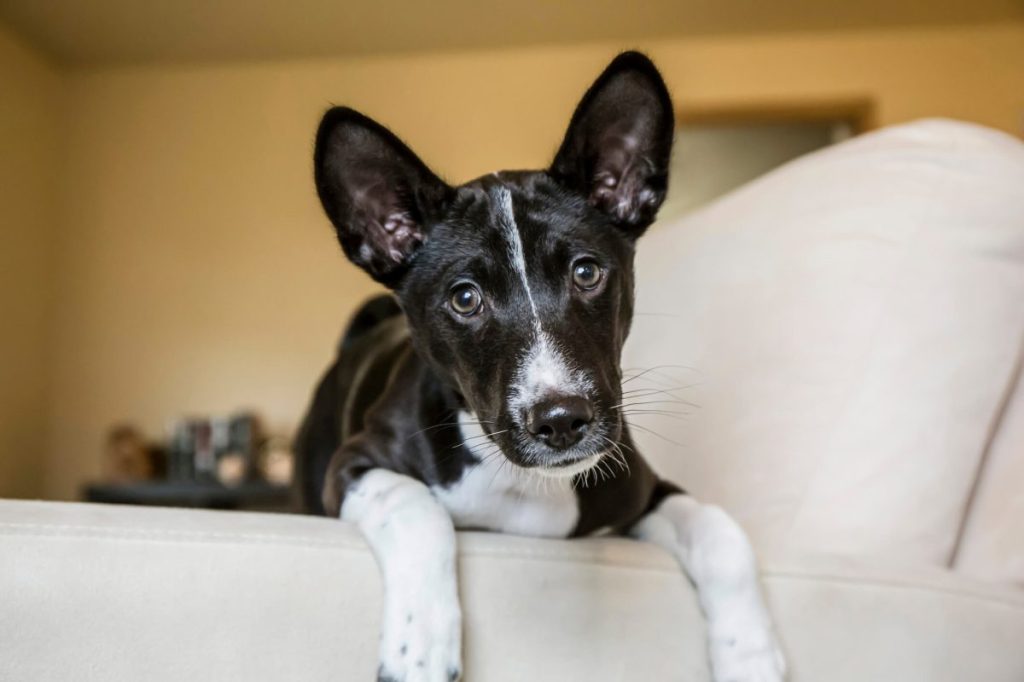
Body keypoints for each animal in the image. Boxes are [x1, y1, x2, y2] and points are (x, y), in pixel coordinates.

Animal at [296, 51, 782, 679]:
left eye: (586, 271)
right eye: (465, 298)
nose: (560, 420)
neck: (524, 485)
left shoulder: (642, 491)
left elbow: (720, 531)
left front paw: (750, 654)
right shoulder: (355, 465)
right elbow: (416, 510)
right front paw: (420, 645)